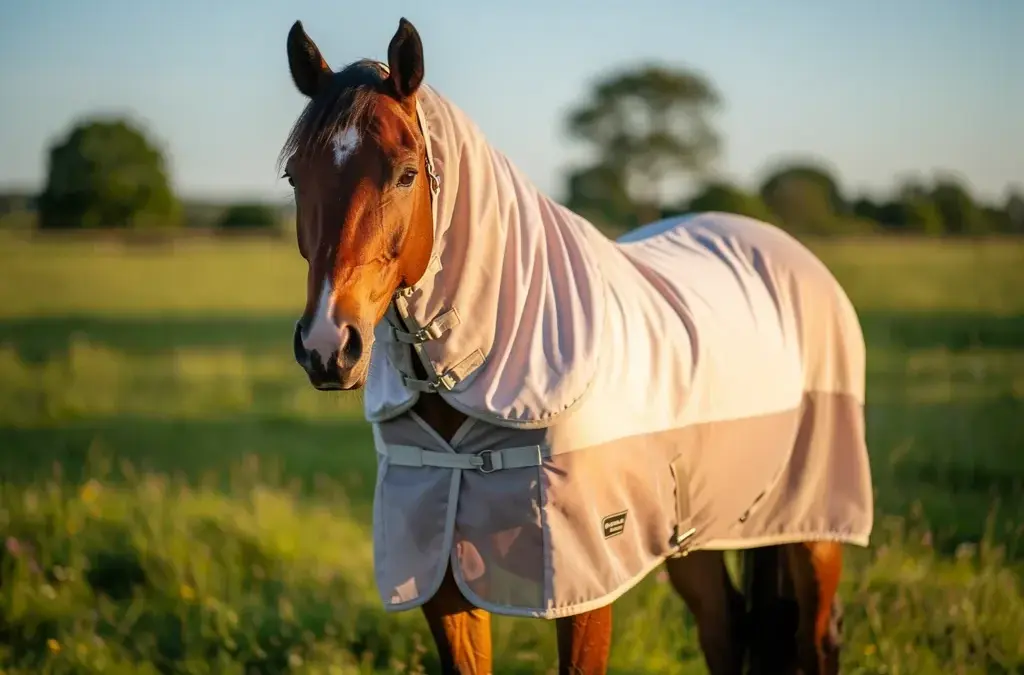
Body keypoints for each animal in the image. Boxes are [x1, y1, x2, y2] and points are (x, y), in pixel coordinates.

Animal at [280, 17, 873, 674]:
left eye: (407, 172)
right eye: (295, 176)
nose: (328, 346)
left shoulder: (583, 588)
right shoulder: (440, 577)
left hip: (815, 531)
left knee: (813, 638)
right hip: (696, 534)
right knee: (725, 628)